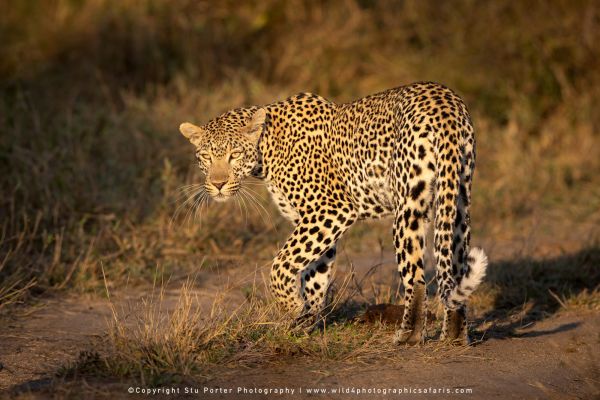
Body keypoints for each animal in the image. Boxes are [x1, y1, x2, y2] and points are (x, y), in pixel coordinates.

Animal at [178, 81, 488, 344]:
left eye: (234, 155)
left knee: (417, 277)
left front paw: (292, 306)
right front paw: (306, 321)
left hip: (409, 207)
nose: (218, 184)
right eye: (206, 157)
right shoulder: (314, 220)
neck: (265, 152)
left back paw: (408, 337)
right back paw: (455, 337)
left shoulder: (330, 210)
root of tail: (446, 104)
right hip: (458, 198)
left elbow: (281, 264)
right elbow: (315, 274)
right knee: (454, 266)